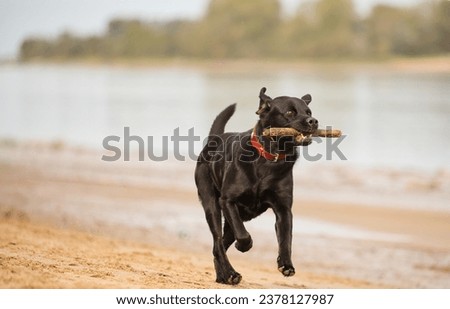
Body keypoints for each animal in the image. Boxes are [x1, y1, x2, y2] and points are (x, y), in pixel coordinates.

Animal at [195, 86, 318, 284]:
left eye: (309, 112)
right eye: (290, 112)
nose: (313, 121)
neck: (269, 160)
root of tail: (215, 139)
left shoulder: (283, 209)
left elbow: (286, 239)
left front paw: (286, 264)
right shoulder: (228, 201)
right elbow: (243, 235)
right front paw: (244, 245)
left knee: (218, 246)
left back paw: (224, 276)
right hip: (212, 205)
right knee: (218, 242)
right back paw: (231, 274)